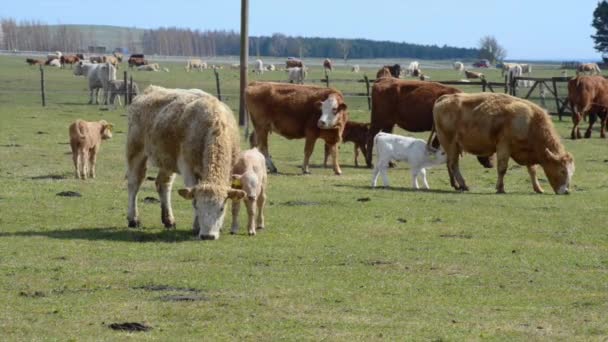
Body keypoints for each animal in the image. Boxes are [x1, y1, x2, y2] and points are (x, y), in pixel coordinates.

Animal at [126, 87, 245, 239]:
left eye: (222, 208)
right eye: (197, 206)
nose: (207, 236)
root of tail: (150, 89)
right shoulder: (188, 168)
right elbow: (192, 192)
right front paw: (196, 226)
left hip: (167, 159)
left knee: (163, 184)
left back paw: (169, 220)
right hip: (135, 150)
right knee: (134, 183)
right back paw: (133, 219)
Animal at [432, 92, 576, 195]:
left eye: (572, 172)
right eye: (562, 171)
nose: (566, 191)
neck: (530, 121)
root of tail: (445, 97)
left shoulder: (527, 151)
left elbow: (532, 171)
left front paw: (538, 188)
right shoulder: (503, 146)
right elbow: (502, 168)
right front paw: (500, 188)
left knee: (449, 164)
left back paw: (456, 185)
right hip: (450, 143)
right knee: (453, 164)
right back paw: (463, 184)